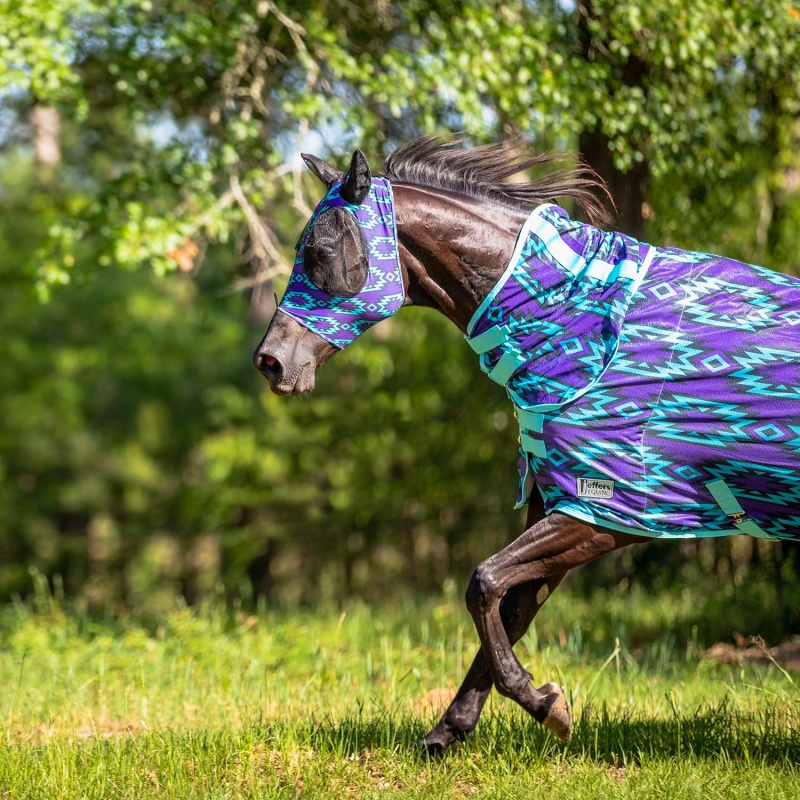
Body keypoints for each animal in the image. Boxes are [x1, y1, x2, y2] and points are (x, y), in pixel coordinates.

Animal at [252, 136, 800, 755]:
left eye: (320, 248)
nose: (270, 361)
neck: (574, 326)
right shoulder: (561, 513)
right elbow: (506, 611)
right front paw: (450, 732)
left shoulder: (601, 514)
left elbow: (482, 583)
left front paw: (543, 703)